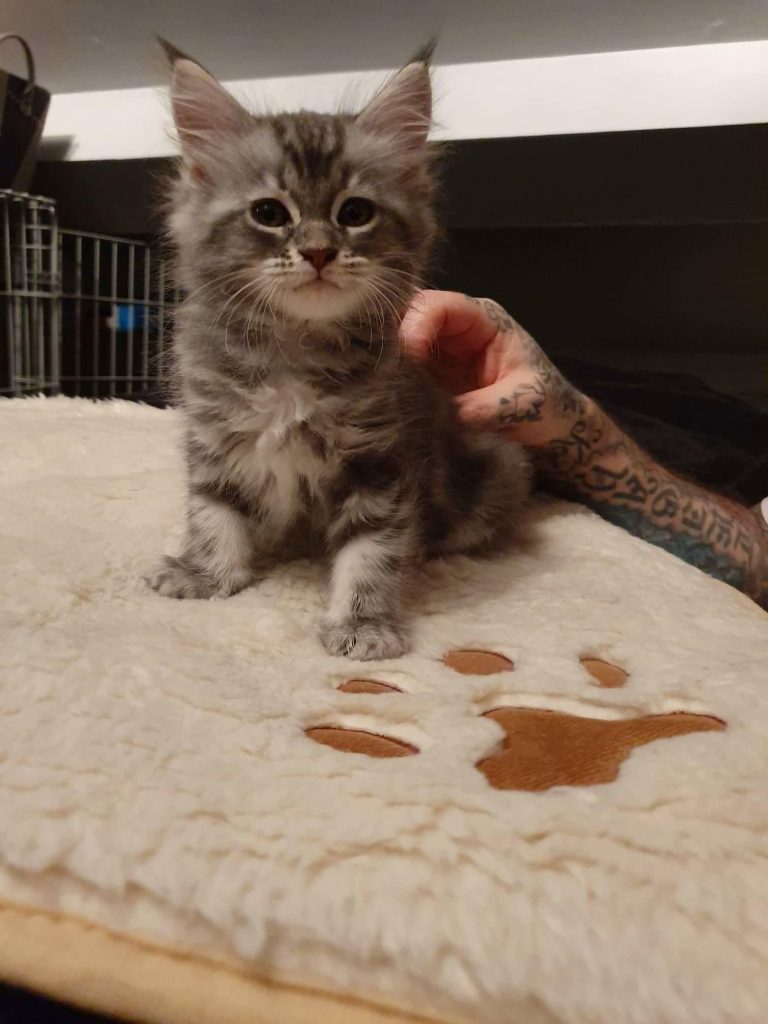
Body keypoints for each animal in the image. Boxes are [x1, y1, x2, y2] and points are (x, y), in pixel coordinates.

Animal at [148, 41, 532, 655]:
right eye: (269, 213)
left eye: (355, 213)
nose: (319, 252)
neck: (293, 351)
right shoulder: (213, 430)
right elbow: (213, 509)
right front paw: (207, 574)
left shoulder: (380, 458)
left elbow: (372, 548)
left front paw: (363, 623)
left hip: (500, 467)